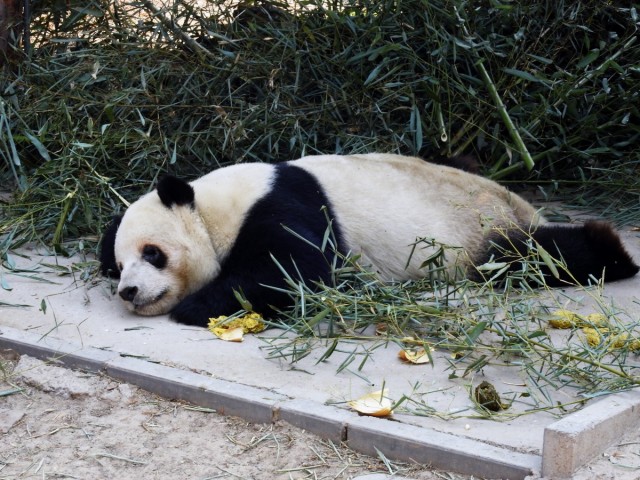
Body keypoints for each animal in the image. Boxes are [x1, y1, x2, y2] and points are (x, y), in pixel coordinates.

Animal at [100, 153, 639, 327]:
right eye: (120, 266)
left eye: (153, 253)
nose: (130, 292)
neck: (214, 209)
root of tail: (519, 205)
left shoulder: (281, 208)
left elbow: (295, 273)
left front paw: (197, 306)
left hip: (478, 234)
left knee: (533, 256)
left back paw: (612, 249)